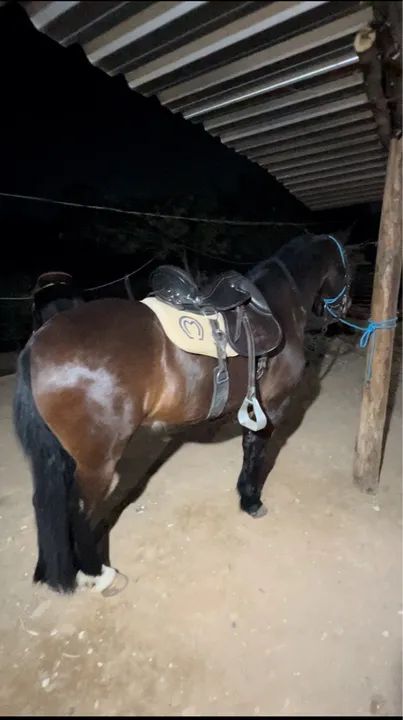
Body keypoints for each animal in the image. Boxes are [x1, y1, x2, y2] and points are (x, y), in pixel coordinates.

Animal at [12, 233, 351, 595]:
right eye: (348, 267)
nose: (345, 306)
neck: (278, 308)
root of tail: (38, 341)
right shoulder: (273, 405)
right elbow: (255, 450)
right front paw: (251, 501)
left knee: (47, 503)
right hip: (97, 462)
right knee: (80, 511)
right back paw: (99, 575)